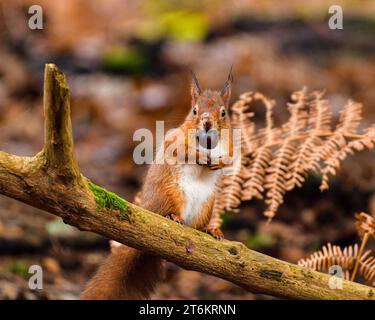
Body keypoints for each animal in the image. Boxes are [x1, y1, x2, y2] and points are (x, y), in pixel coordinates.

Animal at [82, 70, 234, 300]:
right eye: (195, 110)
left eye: (223, 112)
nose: (207, 123)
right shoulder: (175, 140)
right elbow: (181, 150)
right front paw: (200, 156)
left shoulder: (231, 145)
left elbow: (231, 158)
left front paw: (219, 162)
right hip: (171, 193)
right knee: (169, 212)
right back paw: (174, 217)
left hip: (206, 205)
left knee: (197, 228)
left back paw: (211, 229)